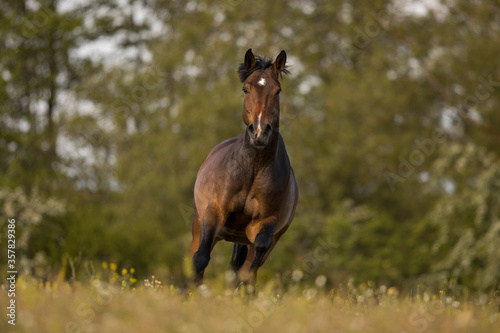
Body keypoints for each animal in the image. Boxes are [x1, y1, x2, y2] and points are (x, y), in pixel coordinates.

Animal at [188, 48, 296, 290]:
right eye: (246, 88)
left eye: (277, 91)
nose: (260, 132)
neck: (253, 168)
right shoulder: (214, 214)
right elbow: (200, 259)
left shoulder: (265, 225)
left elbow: (248, 270)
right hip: (200, 224)